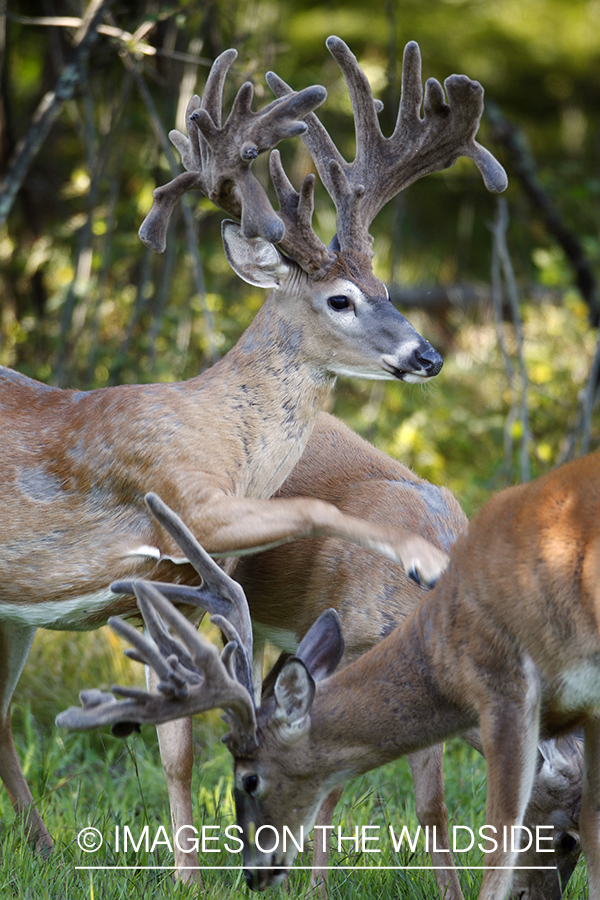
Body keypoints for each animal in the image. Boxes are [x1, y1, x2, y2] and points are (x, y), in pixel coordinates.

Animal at [0, 38, 506, 876]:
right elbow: (307, 506)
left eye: (385, 284)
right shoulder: (177, 497)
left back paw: (44, 850)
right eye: (340, 299)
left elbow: (178, 746)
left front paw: (190, 873)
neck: (219, 429)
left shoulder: (178, 583)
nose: (427, 355)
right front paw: (424, 556)